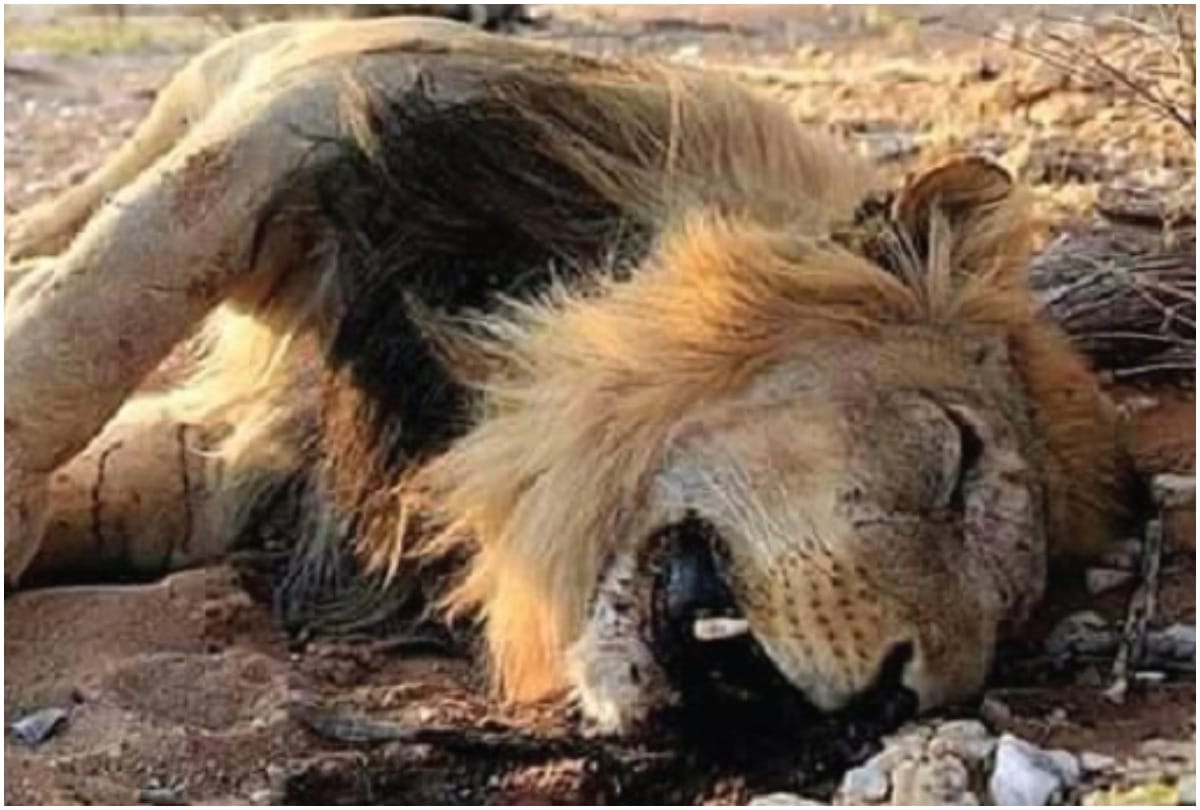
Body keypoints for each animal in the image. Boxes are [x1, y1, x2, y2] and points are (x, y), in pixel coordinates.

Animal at [4, 17, 1134, 736]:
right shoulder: (318, 129)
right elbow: (100, 313)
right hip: (203, 92)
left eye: (1010, 616)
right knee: (63, 223)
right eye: (955, 460)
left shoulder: (251, 479)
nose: (904, 695)